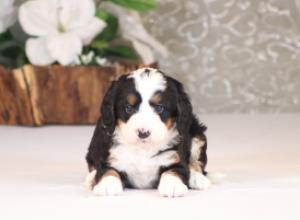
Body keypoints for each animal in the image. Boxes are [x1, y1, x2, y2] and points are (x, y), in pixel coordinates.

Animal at [84, 67, 211, 198]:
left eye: (160, 108)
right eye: (128, 108)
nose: (143, 133)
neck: (143, 149)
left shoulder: (176, 157)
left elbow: (174, 171)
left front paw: (173, 186)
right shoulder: (109, 157)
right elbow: (108, 171)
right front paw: (107, 185)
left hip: (197, 135)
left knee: (197, 163)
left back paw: (198, 179)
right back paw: (91, 179)